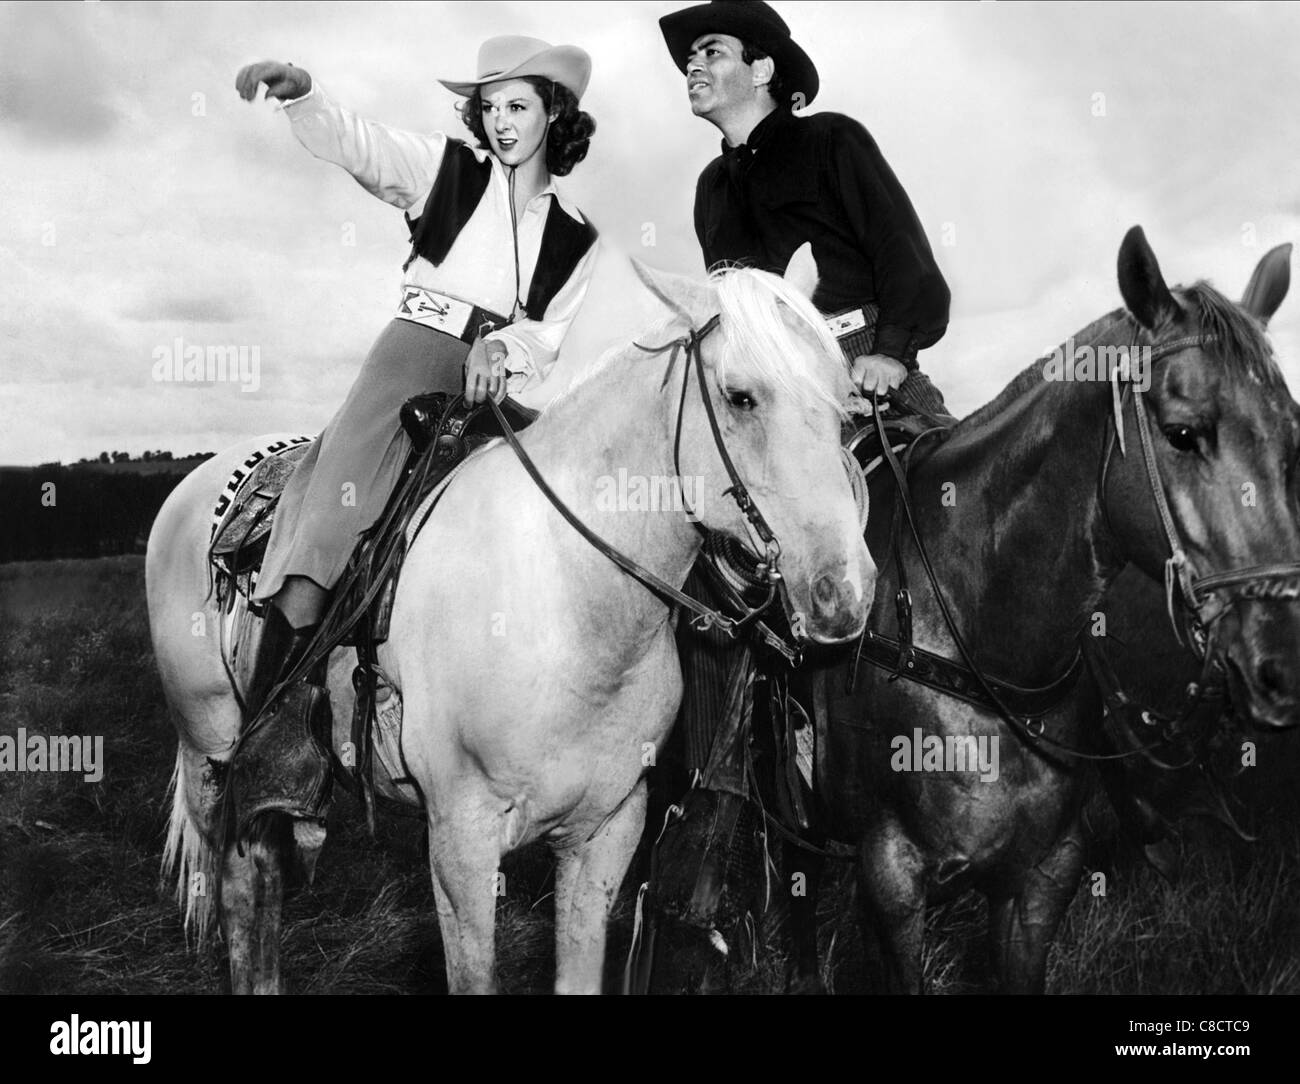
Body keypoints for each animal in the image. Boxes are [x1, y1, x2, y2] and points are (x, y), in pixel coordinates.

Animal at [149, 249, 873, 993]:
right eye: (740, 396)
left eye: (842, 404)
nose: (845, 594)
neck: (569, 603)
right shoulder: (461, 841)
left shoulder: (607, 833)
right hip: (211, 748)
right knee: (242, 884)